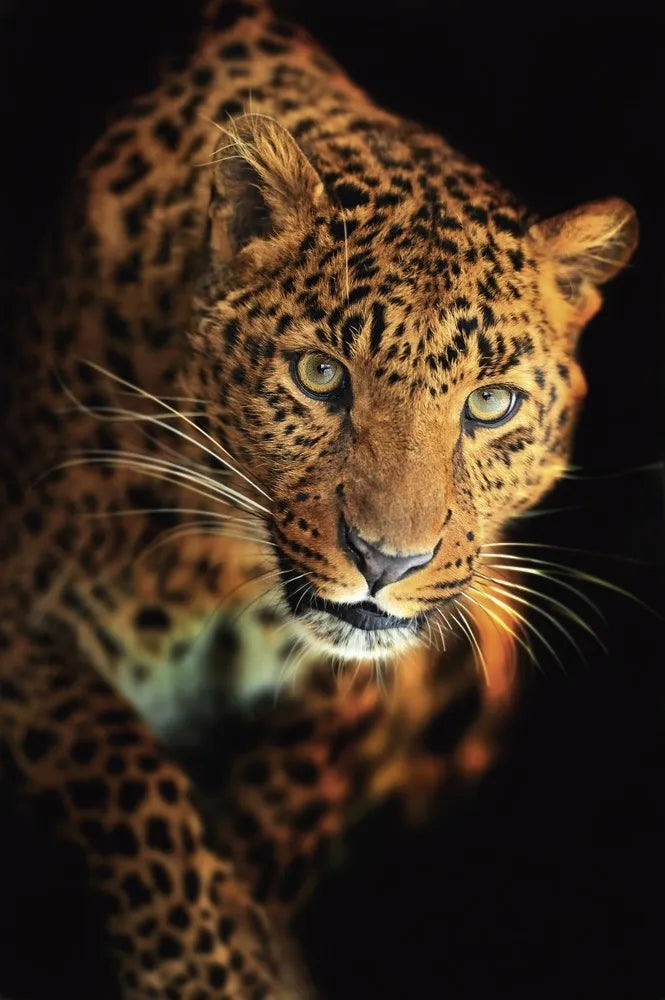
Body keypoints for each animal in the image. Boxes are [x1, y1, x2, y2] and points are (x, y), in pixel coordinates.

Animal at [0, 0, 638, 997]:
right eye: (319, 375)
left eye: (490, 404)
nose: (387, 561)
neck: (218, 562)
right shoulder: (21, 620)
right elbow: (120, 766)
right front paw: (205, 971)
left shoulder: (377, 683)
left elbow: (286, 798)